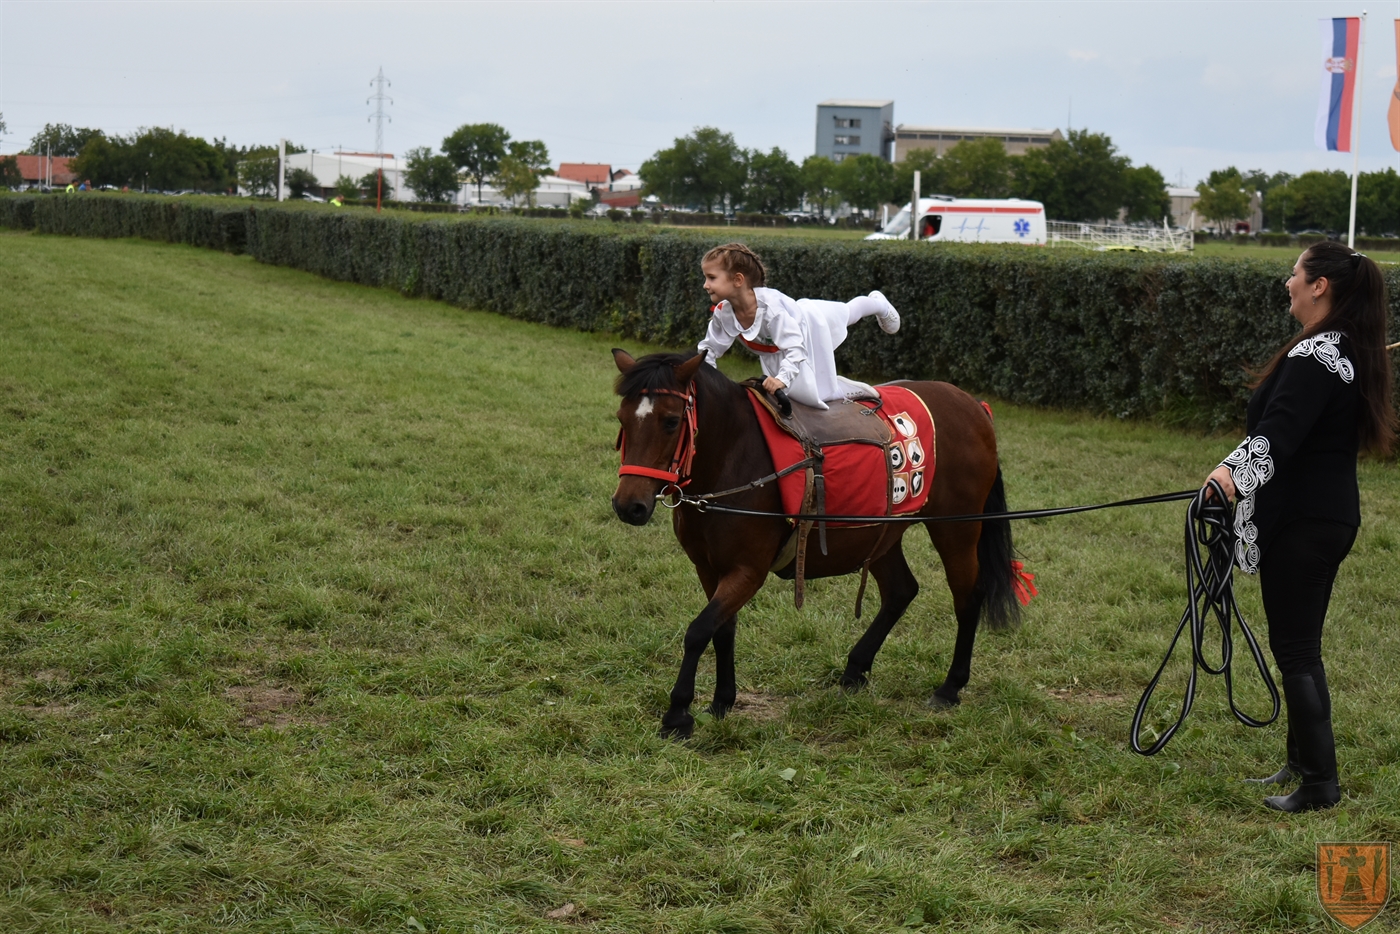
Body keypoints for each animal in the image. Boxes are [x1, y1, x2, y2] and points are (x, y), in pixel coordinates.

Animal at [610, 349, 1022, 738]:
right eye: (621, 419)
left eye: (671, 421)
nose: (629, 505)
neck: (734, 455)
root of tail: (974, 406)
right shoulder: (709, 567)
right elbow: (722, 629)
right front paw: (722, 700)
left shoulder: (748, 570)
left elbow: (698, 631)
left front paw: (678, 713)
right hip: (882, 531)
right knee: (901, 591)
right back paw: (855, 669)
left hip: (957, 529)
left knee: (968, 597)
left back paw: (950, 687)